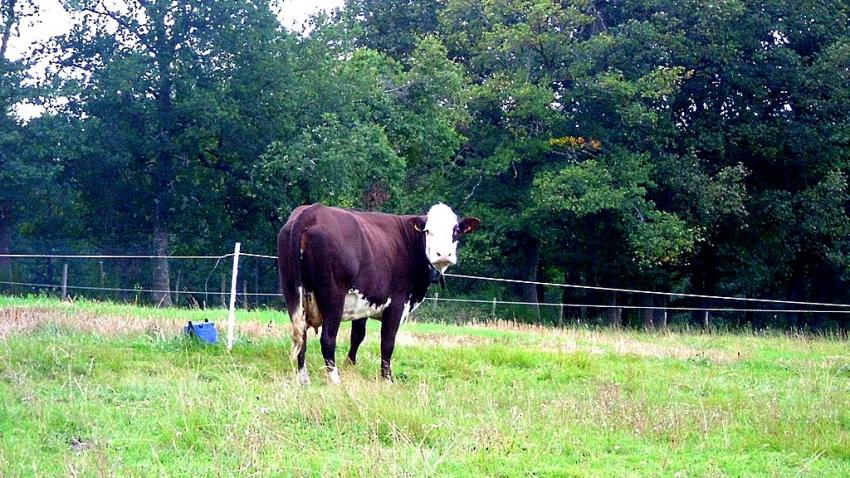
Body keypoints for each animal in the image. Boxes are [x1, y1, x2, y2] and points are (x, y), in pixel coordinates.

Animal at [276, 204, 476, 382]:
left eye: (456, 231)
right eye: (427, 231)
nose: (443, 254)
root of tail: (311, 211)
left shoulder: (364, 301)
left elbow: (357, 335)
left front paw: (350, 364)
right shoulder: (397, 303)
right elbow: (387, 342)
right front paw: (387, 379)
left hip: (292, 293)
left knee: (301, 337)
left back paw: (303, 378)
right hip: (333, 297)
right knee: (327, 339)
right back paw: (335, 380)